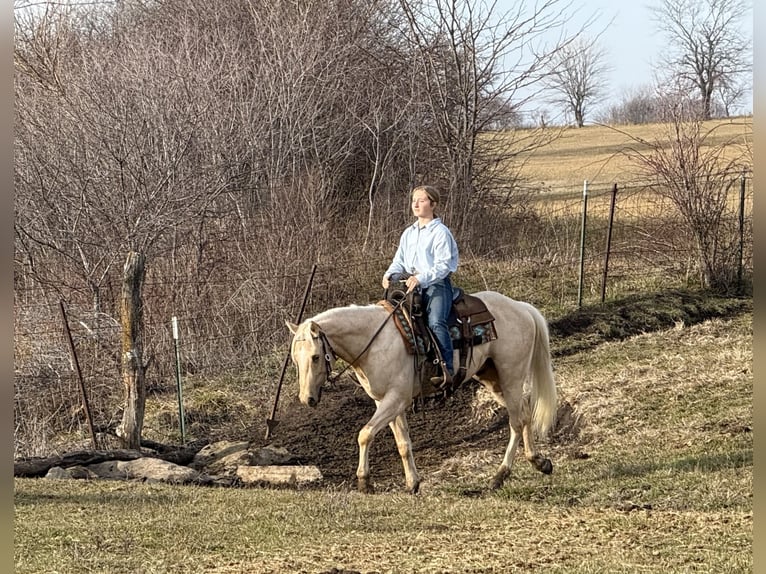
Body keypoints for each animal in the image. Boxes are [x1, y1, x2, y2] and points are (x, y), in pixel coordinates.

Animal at [288, 292, 560, 496]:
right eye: (294, 359)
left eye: (315, 357)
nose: (307, 399)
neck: (374, 343)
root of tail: (521, 308)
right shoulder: (385, 402)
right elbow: (403, 443)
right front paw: (412, 483)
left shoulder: (396, 399)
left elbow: (365, 434)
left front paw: (364, 481)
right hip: (493, 379)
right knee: (524, 413)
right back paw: (538, 461)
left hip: (511, 376)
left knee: (516, 422)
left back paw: (500, 476)